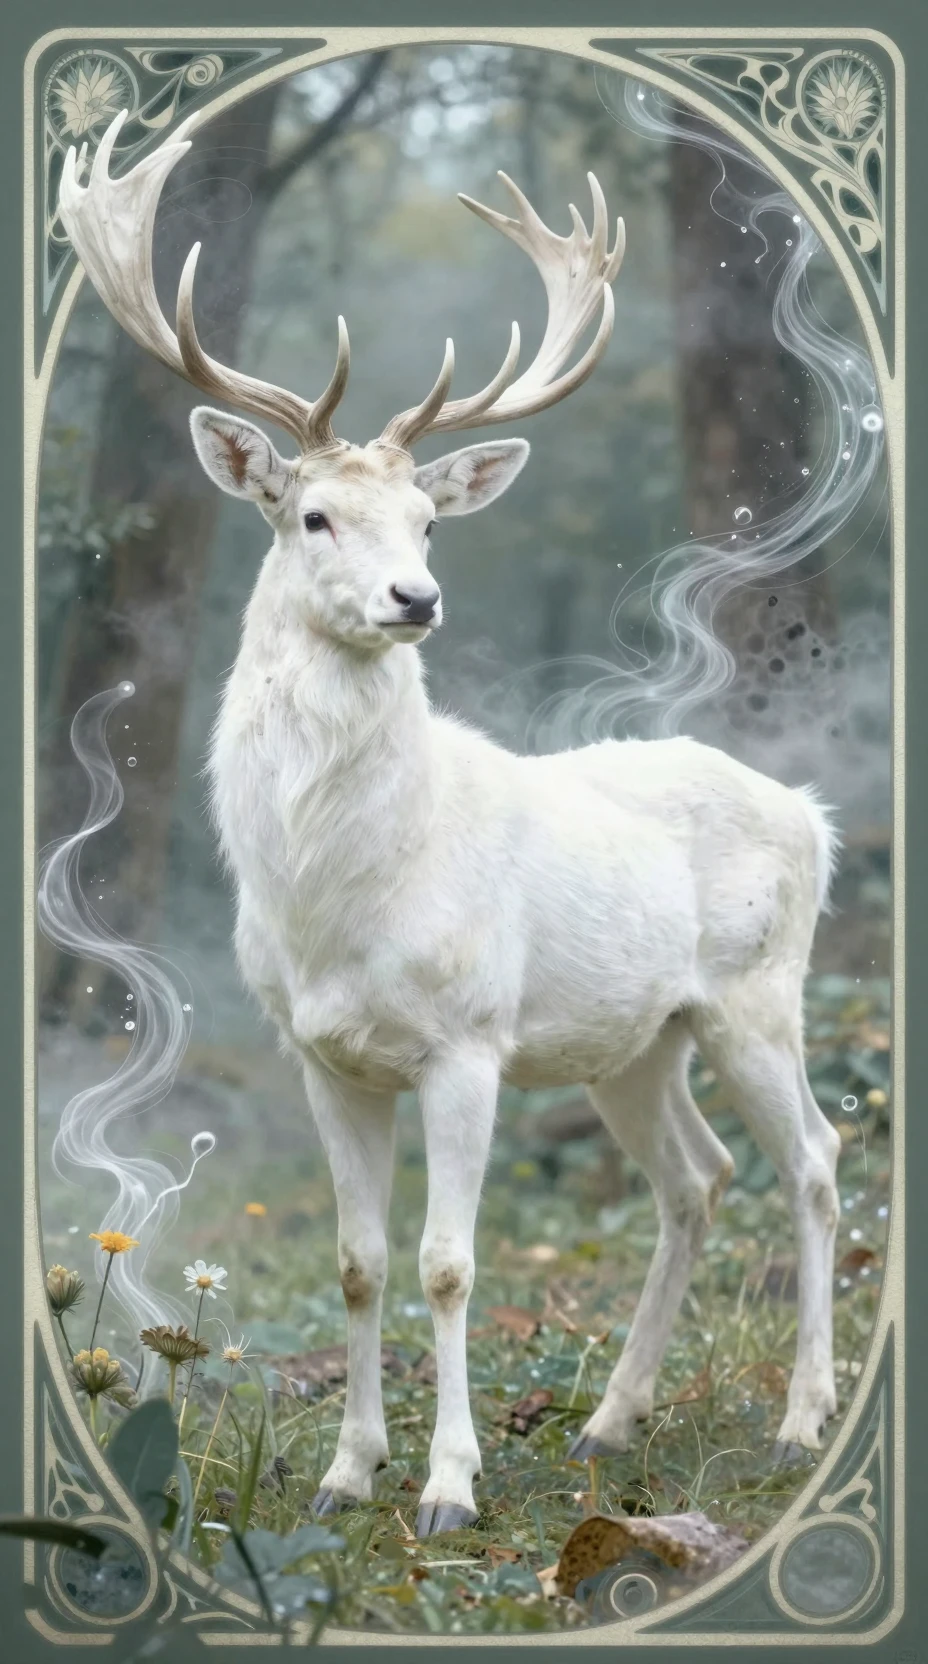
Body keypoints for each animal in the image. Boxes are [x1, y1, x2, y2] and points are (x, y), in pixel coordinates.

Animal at [58, 109, 842, 1538]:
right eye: (313, 513)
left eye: (429, 517)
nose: (415, 598)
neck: (339, 899)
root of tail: (812, 814)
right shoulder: (319, 1051)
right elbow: (361, 1261)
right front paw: (343, 1471)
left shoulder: (467, 1037)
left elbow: (448, 1261)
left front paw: (449, 1486)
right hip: (635, 1039)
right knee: (696, 1176)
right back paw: (607, 1419)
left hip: (760, 991)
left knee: (812, 1155)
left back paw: (800, 1416)